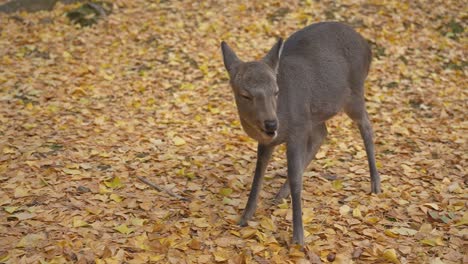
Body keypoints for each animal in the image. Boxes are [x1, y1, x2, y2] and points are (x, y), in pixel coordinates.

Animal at [220, 21, 380, 246]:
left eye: (276, 91)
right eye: (245, 94)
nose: (271, 124)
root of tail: (367, 46)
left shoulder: (297, 129)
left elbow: (296, 177)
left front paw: (298, 237)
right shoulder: (271, 140)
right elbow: (258, 174)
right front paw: (244, 218)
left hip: (354, 94)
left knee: (366, 125)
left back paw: (375, 184)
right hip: (317, 114)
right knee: (323, 132)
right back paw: (280, 194)